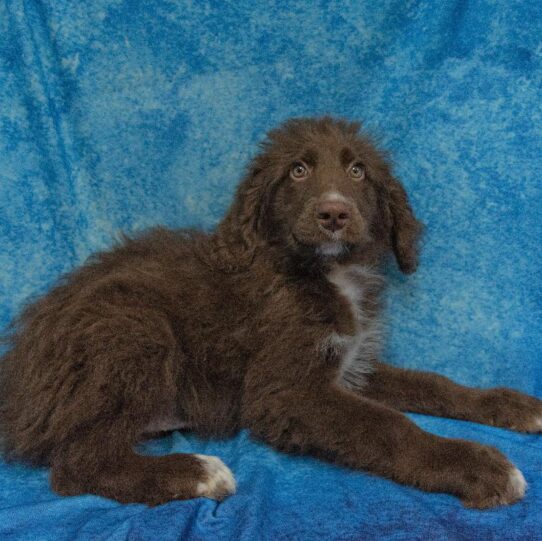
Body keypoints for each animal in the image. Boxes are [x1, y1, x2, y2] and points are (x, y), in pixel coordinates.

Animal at [1, 116, 542, 508]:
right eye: (298, 171)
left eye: (358, 172)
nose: (334, 213)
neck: (325, 273)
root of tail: (17, 379)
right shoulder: (286, 392)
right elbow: (388, 426)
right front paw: (481, 466)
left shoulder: (349, 366)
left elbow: (432, 384)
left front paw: (511, 405)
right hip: (132, 328)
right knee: (76, 464)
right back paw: (196, 472)